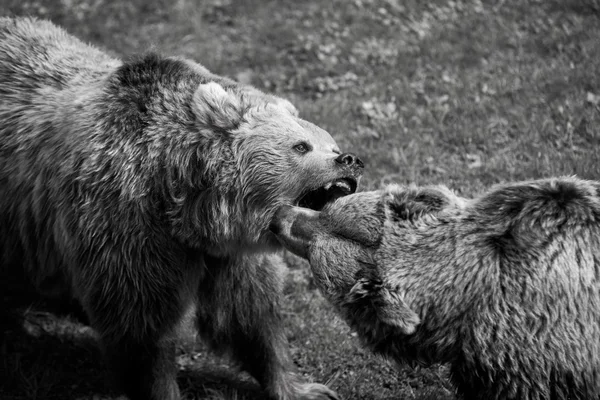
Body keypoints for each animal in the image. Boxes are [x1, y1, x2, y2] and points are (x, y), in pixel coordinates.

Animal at [0, 17, 364, 400]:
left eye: (330, 143)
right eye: (301, 146)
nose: (349, 159)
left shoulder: (227, 255)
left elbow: (249, 313)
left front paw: (301, 386)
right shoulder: (126, 225)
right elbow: (142, 325)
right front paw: (160, 384)